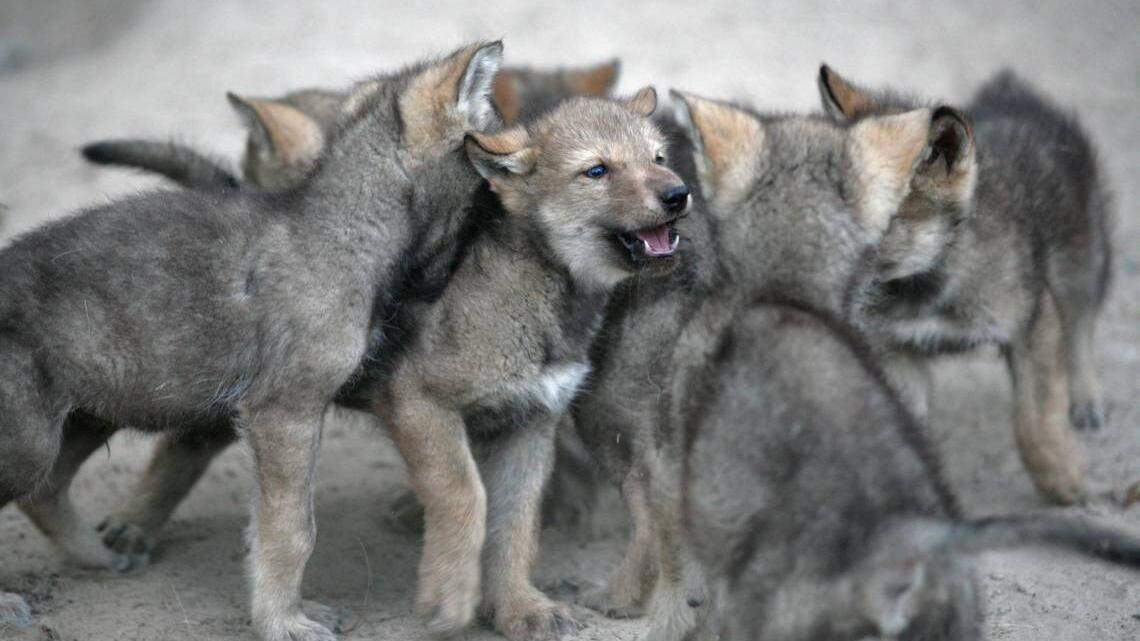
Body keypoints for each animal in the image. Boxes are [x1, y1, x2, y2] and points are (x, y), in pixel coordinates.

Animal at [0, 42, 504, 641]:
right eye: (493, 156)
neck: (343, 232)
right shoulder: (283, 412)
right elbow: (292, 530)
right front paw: (283, 623)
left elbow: (271, 527)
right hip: (32, 437)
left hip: (88, 412)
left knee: (45, 492)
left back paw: (100, 557)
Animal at [819, 65, 1114, 504]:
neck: (923, 283)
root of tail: (1014, 93)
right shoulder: (896, 350)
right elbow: (911, 427)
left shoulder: (1033, 320)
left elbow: (1034, 420)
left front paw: (1064, 480)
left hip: (1084, 260)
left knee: (1081, 329)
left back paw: (1088, 398)